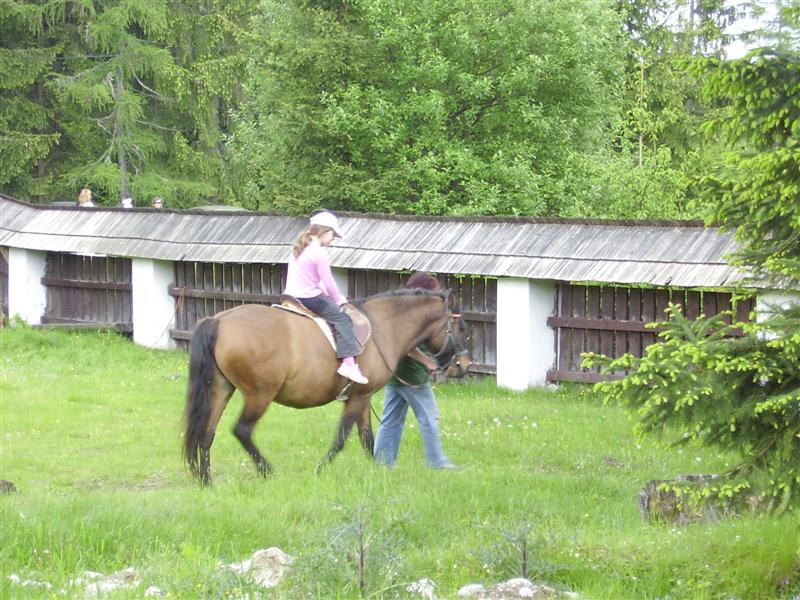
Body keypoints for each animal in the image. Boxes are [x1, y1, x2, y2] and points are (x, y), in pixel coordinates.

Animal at [183, 289, 471, 485]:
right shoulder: (358, 398)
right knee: (242, 430)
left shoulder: (362, 397)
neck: (382, 328)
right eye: (461, 328)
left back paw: (206, 480)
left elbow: (366, 437)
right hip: (259, 395)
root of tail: (219, 321)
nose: (465, 365)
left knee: (207, 434)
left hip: (220, 388)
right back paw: (267, 471)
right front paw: (320, 469)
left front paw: (376, 470)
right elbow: (342, 438)